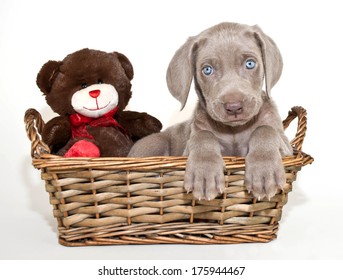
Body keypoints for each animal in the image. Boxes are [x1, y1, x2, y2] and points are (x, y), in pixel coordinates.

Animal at [129, 21, 292, 201]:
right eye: (207, 70)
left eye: (250, 63)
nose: (234, 107)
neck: (233, 131)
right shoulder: (189, 146)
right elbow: (203, 135)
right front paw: (204, 175)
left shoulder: (286, 147)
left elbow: (265, 129)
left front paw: (264, 172)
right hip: (153, 143)